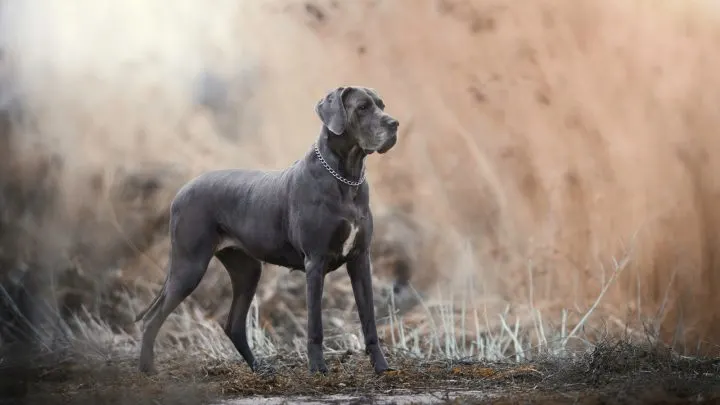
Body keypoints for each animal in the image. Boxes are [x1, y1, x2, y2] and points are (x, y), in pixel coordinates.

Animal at [134, 85, 400, 376]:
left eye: (381, 105)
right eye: (362, 107)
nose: (394, 123)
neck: (346, 178)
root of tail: (180, 192)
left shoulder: (360, 260)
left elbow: (369, 318)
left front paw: (382, 366)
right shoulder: (315, 262)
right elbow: (315, 325)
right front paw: (318, 368)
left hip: (247, 270)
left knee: (233, 324)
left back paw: (259, 367)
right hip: (189, 266)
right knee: (152, 318)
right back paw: (147, 369)